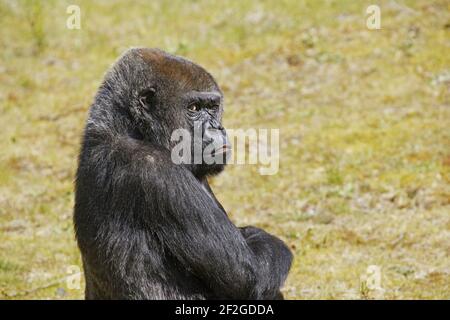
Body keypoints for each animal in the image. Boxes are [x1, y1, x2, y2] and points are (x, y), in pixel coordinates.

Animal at [73, 48, 294, 300]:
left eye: (212, 107)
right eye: (194, 109)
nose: (216, 128)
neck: (128, 128)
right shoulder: (158, 169)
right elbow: (248, 275)